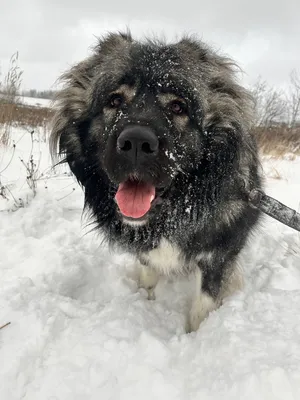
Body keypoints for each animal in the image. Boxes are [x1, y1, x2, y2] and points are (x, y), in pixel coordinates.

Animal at [50, 32, 262, 332]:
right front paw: (145, 301)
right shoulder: (146, 251)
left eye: (177, 106)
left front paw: (194, 336)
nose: (136, 143)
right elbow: (147, 275)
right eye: (114, 100)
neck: (174, 212)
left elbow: (204, 304)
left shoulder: (218, 255)